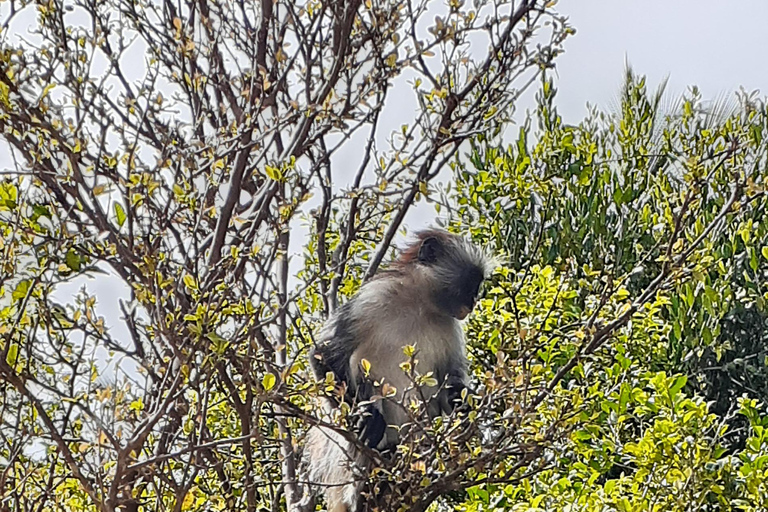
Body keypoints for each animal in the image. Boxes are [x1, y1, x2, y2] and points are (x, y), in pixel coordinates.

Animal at [300, 229, 492, 512]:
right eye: (471, 283)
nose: (474, 301)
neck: (419, 305)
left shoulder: (450, 327)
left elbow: (451, 383)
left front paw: (463, 400)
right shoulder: (373, 297)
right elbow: (323, 354)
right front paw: (365, 418)